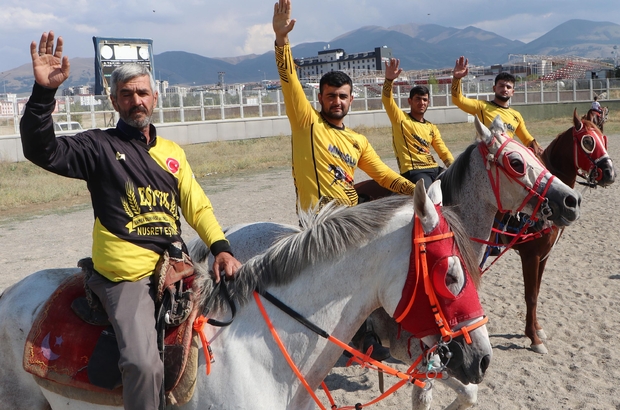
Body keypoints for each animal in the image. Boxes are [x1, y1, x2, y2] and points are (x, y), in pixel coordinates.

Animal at [494, 109, 616, 352]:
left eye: (603, 138)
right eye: (588, 141)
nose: (609, 173)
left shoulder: (544, 255)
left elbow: (537, 291)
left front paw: (537, 328)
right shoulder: (530, 255)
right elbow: (530, 295)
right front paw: (533, 338)